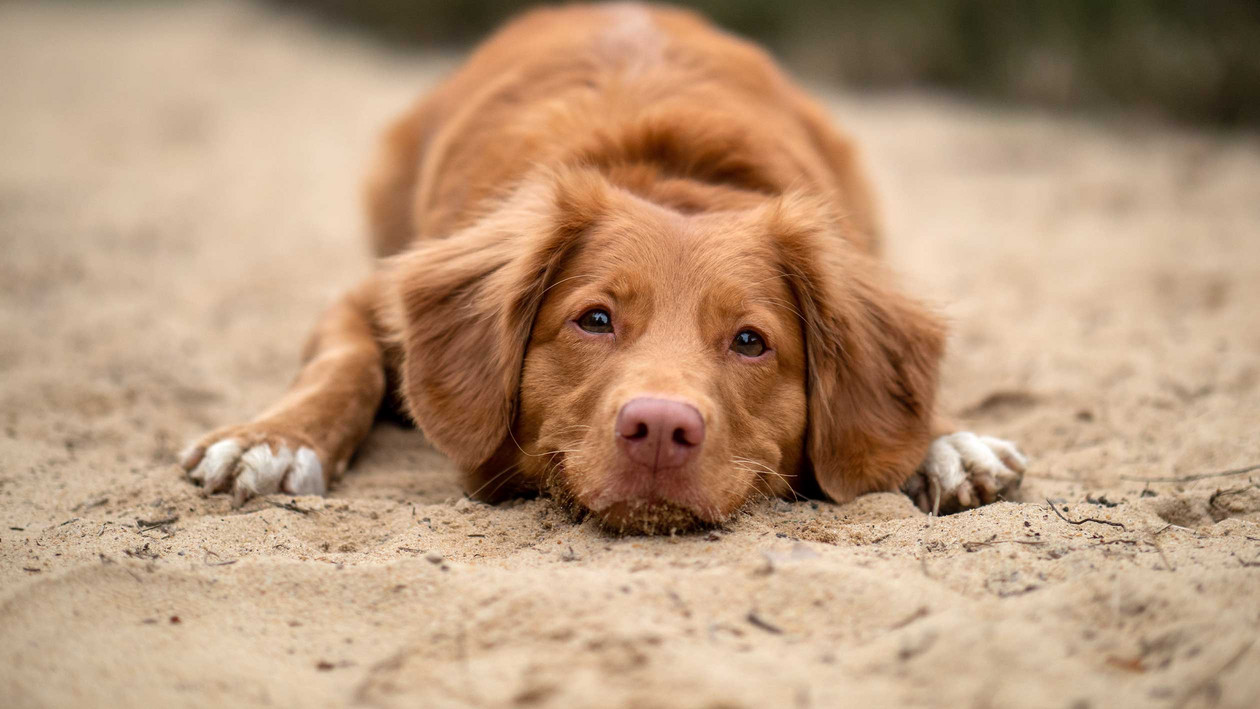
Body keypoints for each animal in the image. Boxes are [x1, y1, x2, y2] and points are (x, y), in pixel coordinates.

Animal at [180, 1, 1023, 533]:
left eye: (751, 341)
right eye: (594, 319)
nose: (660, 429)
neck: (666, 176)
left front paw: (946, 438)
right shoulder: (372, 294)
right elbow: (344, 363)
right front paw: (274, 438)